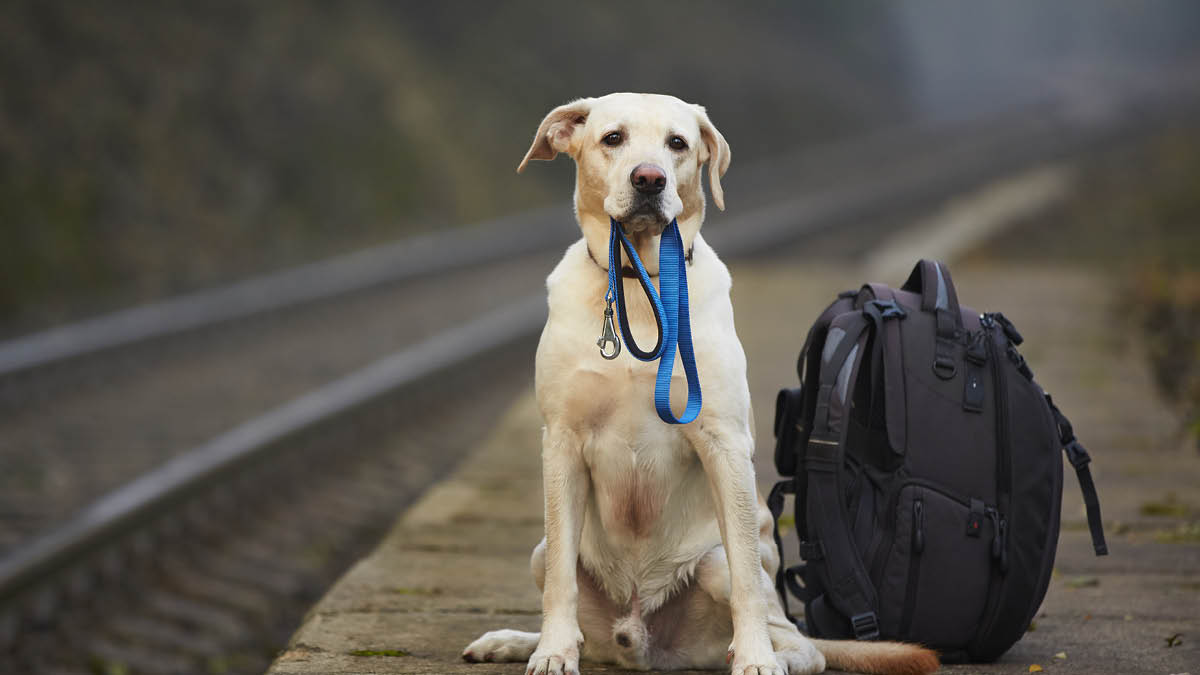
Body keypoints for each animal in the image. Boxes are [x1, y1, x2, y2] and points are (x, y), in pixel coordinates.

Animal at [458, 93, 936, 672]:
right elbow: (559, 585)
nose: (649, 179)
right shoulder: (562, 442)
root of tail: (640, 638)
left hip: (715, 566)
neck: (640, 284)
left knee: (799, 639)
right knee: (573, 602)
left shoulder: (723, 442)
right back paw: (514, 640)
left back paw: (774, 656)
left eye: (677, 143)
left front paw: (755, 659)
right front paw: (551, 652)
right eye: (613, 138)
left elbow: (749, 582)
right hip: (542, 551)